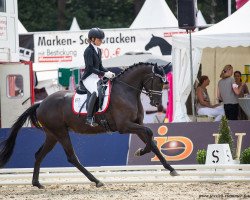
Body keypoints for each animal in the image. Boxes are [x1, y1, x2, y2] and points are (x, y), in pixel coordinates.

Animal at [0, 63, 179, 189]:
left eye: (165, 82)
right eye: (158, 81)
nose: (157, 104)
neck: (126, 91)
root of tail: (41, 103)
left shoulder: (136, 124)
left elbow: (152, 141)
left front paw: (171, 169)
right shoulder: (125, 126)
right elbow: (149, 133)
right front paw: (141, 151)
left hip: (52, 135)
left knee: (39, 155)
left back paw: (37, 183)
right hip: (60, 132)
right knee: (71, 157)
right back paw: (96, 180)